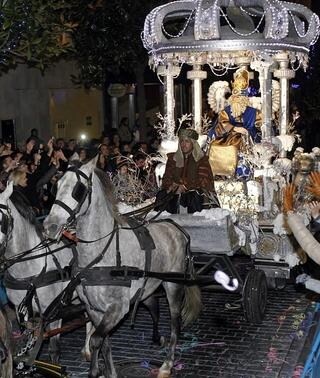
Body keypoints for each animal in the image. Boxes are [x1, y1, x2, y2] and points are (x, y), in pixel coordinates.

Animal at [44, 159, 202, 378]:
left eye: (79, 190)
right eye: (55, 186)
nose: (49, 226)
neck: (101, 254)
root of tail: (176, 227)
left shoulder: (118, 308)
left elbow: (96, 340)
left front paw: (95, 371)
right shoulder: (94, 309)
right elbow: (103, 342)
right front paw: (106, 371)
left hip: (173, 285)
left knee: (175, 323)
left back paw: (167, 364)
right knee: (153, 306)